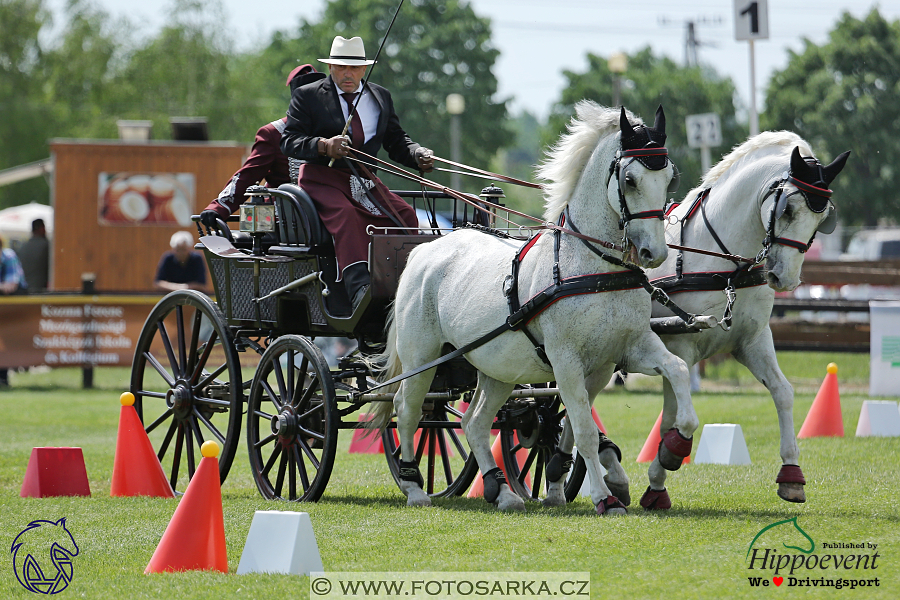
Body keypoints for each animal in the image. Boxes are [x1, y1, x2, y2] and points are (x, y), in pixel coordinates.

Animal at [370, 103, 696, 516]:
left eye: (670, 178)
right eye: (630, 179)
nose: (655, 253)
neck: (592, 267)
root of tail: (425, 250)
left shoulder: (620, 354)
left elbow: (672, 371)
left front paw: (676, 443)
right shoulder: (566, 358)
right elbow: (585, 430)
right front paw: (604, 496)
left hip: (496, 368)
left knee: (474, 422)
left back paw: (502, 491)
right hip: (422, 358)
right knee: (409, 409)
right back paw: (414, 487)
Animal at [548, 130, 852, 506]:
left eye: (823, 219)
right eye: (788, 208)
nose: (785, 278)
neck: (724, 266)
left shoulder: (752, 341)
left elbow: (783, 392)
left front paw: (792, 474)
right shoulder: (680, 346)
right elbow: (672, 417)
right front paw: (663, 468)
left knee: (576, 408)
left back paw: (569, 473)